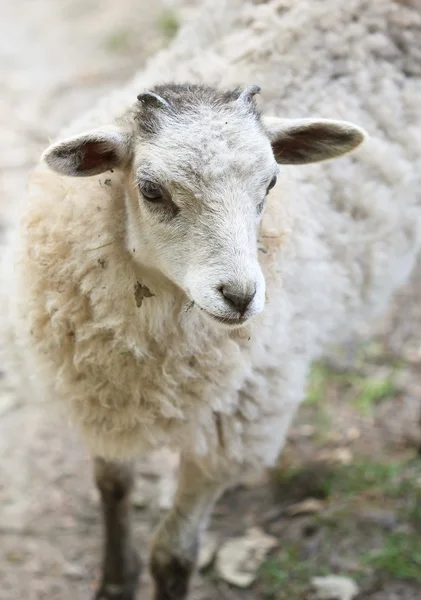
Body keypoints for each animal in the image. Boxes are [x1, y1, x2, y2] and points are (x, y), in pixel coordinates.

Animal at [0, 1, 420, 600]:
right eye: (151, 190)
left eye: (271, 184)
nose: (241, 297)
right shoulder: (100, 393)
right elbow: (112, 484)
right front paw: (114, 579)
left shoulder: (230, 434)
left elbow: (173, 555)